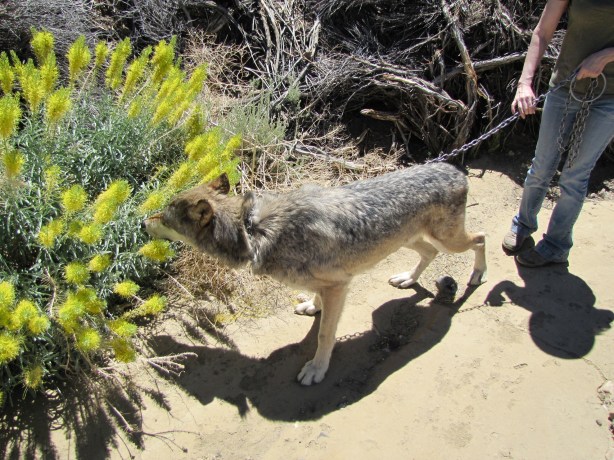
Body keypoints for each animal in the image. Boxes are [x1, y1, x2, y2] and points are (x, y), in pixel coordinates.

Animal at [142, 162, 486, 385]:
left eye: (165, 219)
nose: (142, 220)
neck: (252, 231)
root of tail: (456, 170)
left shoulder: (339, 285)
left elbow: (324, 335)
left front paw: (317, 369)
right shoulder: (329, 285)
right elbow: (317, 303)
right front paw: (312, 306)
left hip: (449, 241)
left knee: (481, 238)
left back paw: (477, 276)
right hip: (413, 241)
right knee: (430, 254)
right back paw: (408, 279)